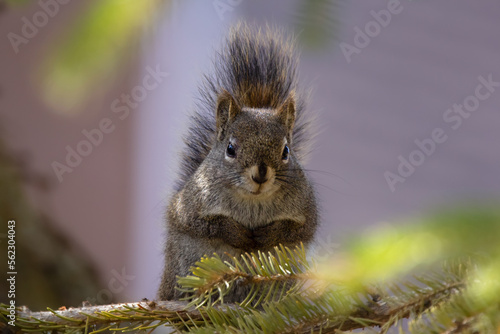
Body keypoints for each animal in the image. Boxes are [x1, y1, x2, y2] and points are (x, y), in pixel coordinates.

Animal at [158, 22, 318, 302]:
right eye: (230, 149)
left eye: (286, 151)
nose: (261, 174)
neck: (253, 201)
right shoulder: (188, 207)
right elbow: (207, 225)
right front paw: (239, 234)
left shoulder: (308, 211)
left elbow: (297, 230)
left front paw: (266, 235)